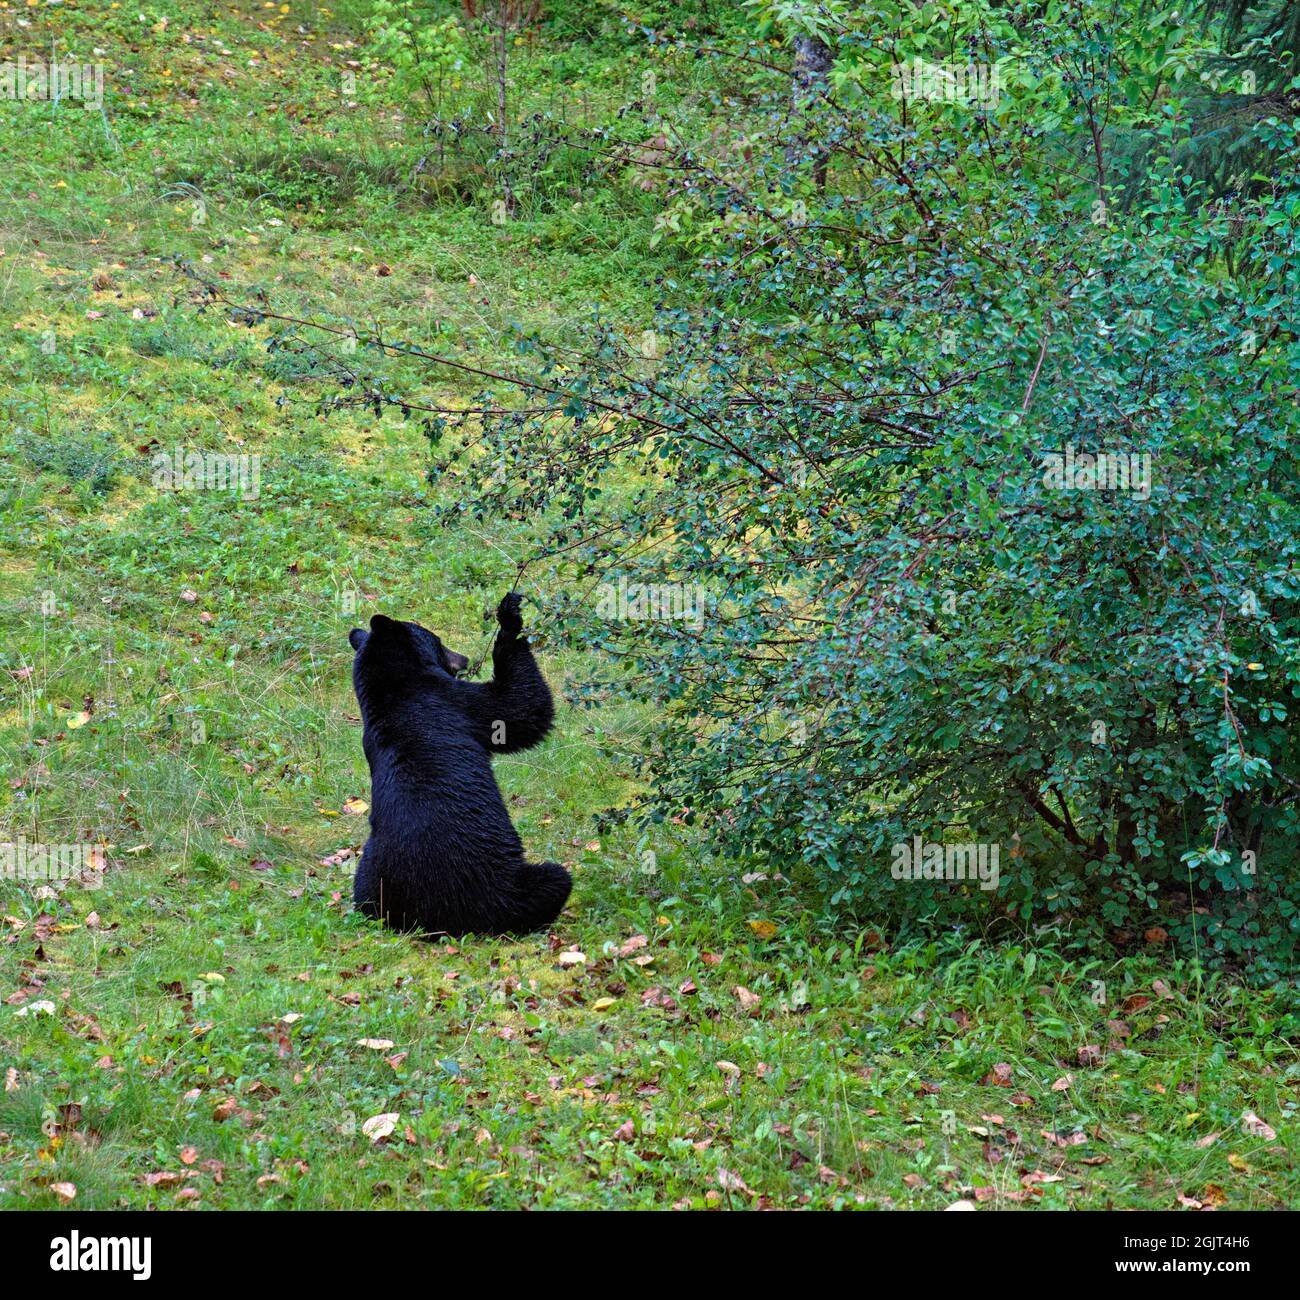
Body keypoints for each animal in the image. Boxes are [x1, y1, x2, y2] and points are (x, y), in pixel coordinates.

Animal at [346, 593, 571, 937]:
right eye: (438, 640)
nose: (463, 658)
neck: (389, 690)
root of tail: (434, 922)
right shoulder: (454, 700)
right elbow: (517, 711)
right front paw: (509, 619)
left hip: (371, 878)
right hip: (500, 884)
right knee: (553, 880)